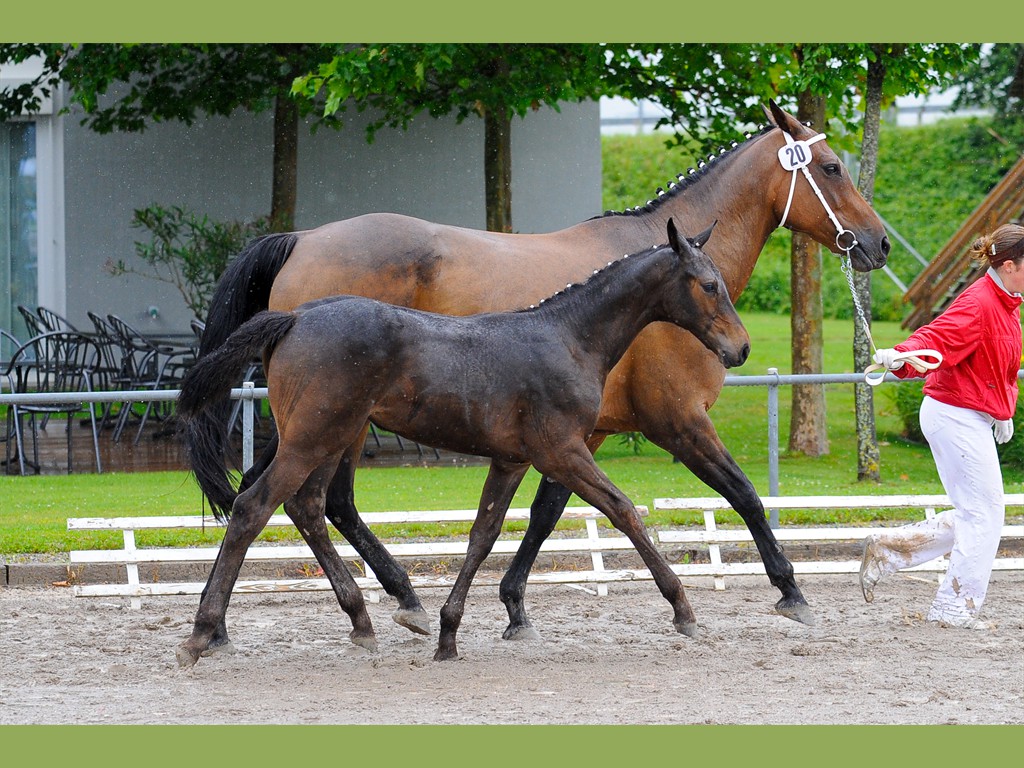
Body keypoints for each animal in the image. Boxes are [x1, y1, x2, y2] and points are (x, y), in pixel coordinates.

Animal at [174, 218, 753, 667]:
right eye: (708, 284)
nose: (741, 348)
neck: (568, 336)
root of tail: (295, 316)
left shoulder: (512, 459)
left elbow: (483, 534)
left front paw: (449, 634)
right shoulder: (563, 451)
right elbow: (624, 510)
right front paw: (683, 610)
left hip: (329, 437)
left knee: (308, 506)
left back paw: (362, 621)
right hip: (316, 437)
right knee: (255, 507)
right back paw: (203, 633)